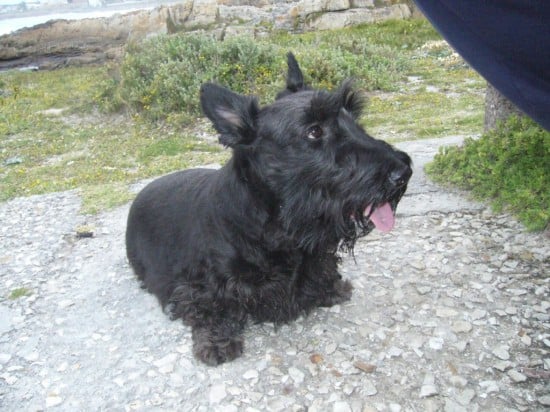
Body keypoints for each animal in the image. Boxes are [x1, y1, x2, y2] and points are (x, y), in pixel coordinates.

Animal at [125, 53, 410, 366]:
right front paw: (217, 342)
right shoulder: (202, 287)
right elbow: (212, 309)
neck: (276, 226)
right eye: (314, 131)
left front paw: (331, 289)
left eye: (353, 118)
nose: (403, 173)